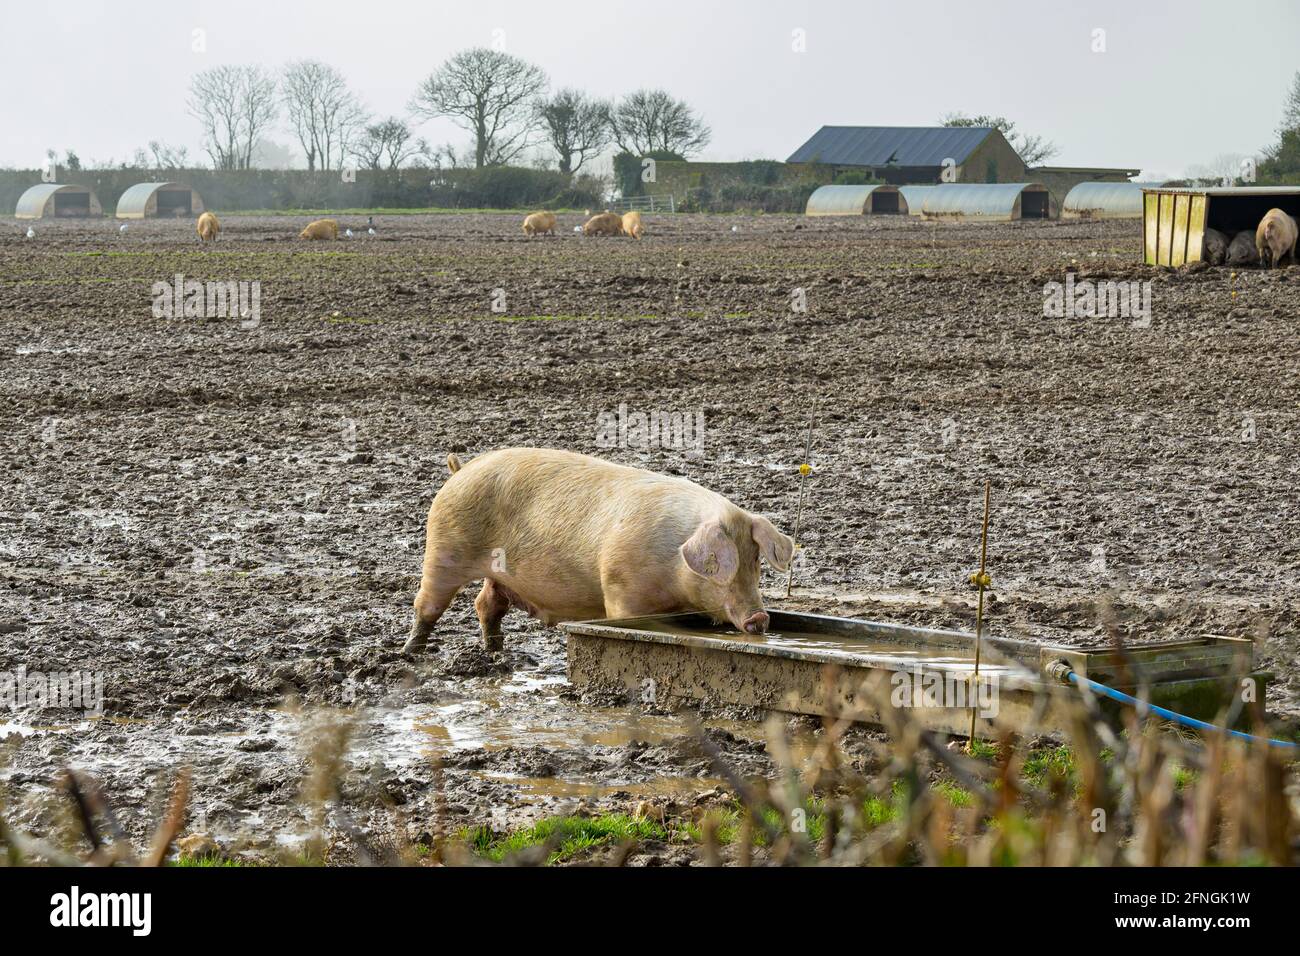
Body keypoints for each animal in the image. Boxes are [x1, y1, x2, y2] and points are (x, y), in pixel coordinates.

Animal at [403, 447, 790, 650]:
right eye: (718, 564)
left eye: (756, 561)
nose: (759, 618)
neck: (673, 564)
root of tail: (460, 470)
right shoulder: (621, 593)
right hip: (443, 548)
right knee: (427, 605)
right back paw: (411, 653)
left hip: (496, 574)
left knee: (486, 605)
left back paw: (494, 652)